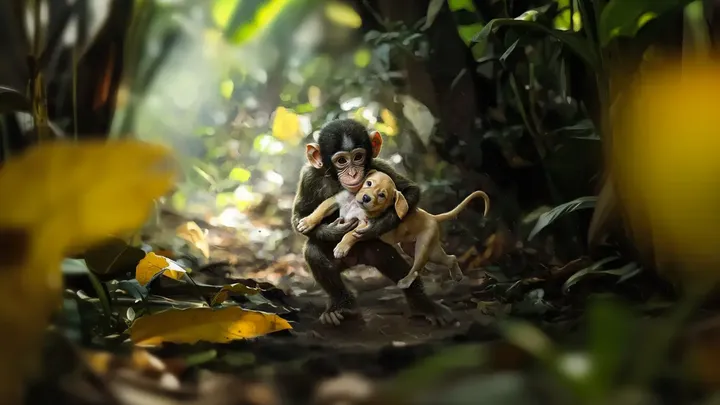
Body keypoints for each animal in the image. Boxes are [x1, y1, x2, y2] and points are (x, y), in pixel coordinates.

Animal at [291, 119, 454, 326]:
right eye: (341, 161)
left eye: (358, 157)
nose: (353, 173)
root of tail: (354, 262)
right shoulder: (309, 177)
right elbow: (299, 215)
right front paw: (331, 230)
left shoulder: (381, 167)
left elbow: (409, 191)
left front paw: (377, 226)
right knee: (313, 252)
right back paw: (341, 306)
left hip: (371, 252)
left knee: (390, 259)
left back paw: (424, 306)